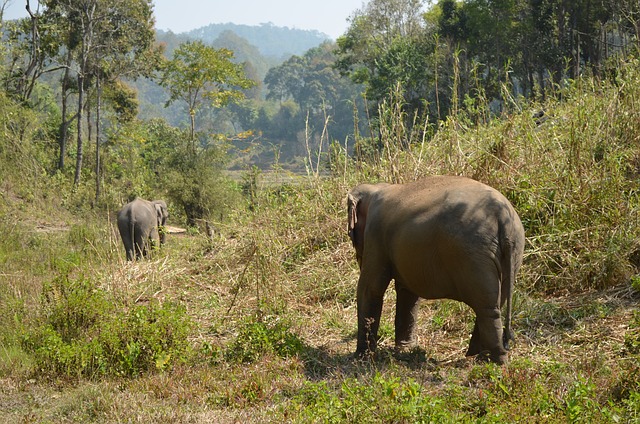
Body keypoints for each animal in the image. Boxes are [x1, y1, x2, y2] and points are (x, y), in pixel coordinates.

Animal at [350, 176, 524, 364]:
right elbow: (407, 291)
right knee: (494, 304)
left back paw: (495, 360)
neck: (377, 187)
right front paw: (405, 349)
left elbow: (370, 289)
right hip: (511, 251)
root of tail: (501, 216)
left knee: (486, 307)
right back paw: (482, 356)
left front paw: (361, 357)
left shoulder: (375, 234)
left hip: (474, 254)